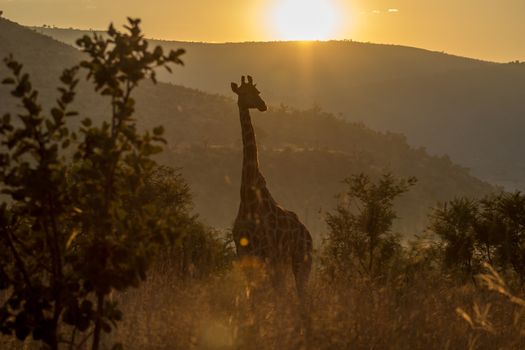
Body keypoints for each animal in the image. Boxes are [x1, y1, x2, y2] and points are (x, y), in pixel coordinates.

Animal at [229, 75, 312, 296]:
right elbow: (251, 292)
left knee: (299, 293)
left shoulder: (266, 251)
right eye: (244, 92)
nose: (263, 105)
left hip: (301, 259)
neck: (247, 194)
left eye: (258, 92)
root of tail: (308, 234)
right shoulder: (243, 251)